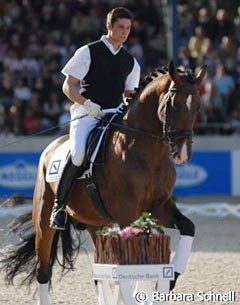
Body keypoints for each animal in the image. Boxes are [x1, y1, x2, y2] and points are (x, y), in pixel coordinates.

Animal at [0, 60, 206, 302]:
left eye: (198, 108)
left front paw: (171, 278)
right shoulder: (128, 215)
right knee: (43, 270)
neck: (146, 152)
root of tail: (51, 147)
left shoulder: (159, 208)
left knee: (98, 271)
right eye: (173, 105)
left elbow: (187, 227)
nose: (182, 154)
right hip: (44, 221)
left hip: (96, 225)